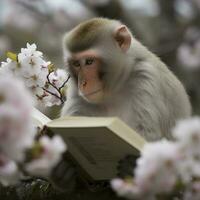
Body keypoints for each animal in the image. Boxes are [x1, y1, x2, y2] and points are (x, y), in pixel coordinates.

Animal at [61, 18, 191, 141]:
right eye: (76, 64)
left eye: (89, 61)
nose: (82, 83)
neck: (115, 90)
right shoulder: (75, 90)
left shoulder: (146, 78)